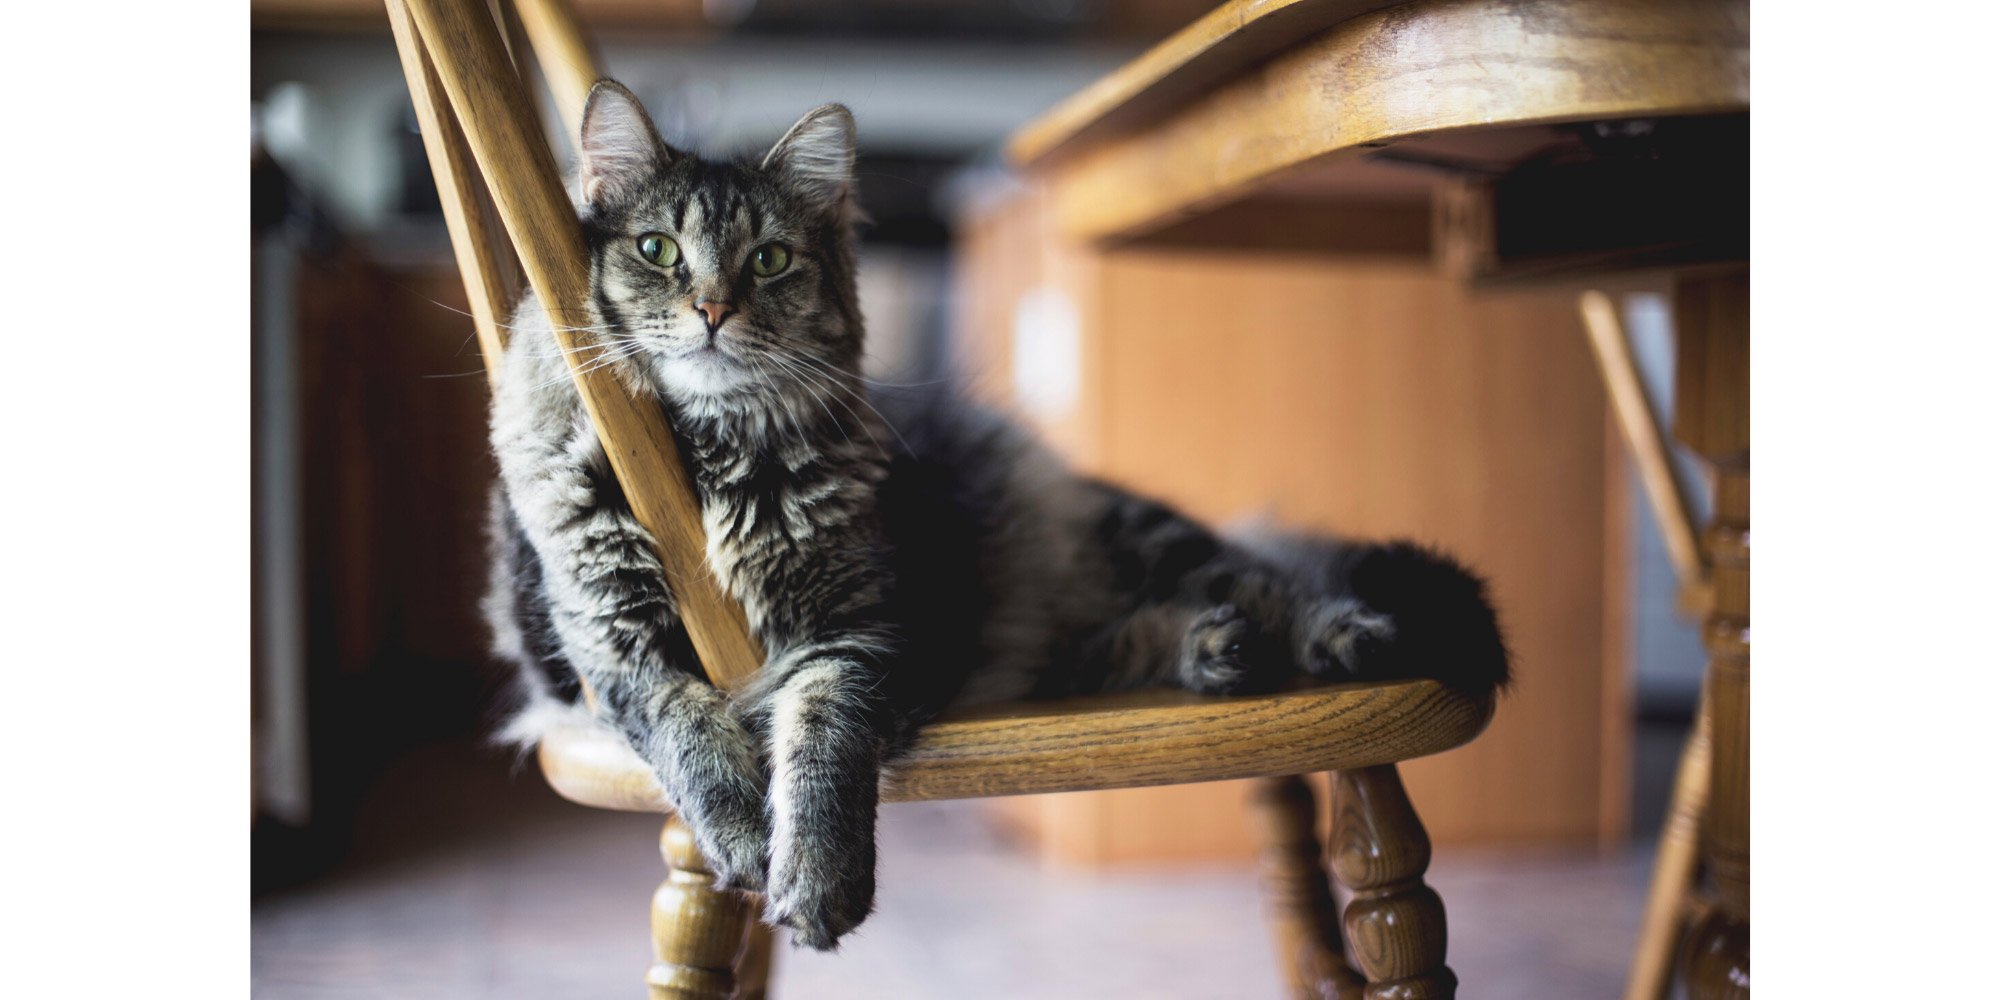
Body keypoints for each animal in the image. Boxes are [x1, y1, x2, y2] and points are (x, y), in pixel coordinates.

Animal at [484, 82, 1504, 948]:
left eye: (769, 260)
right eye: (657, 248)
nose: (710, 309)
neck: (705, 456)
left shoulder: (858, 634)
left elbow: (820, 749)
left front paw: (814, 879)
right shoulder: (609, 643)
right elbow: (686, 730)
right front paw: (741, 836)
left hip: (1144, 545)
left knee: (1273, 581)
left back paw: (1339, 636)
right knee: (1132, 635)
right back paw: (1215, 650)